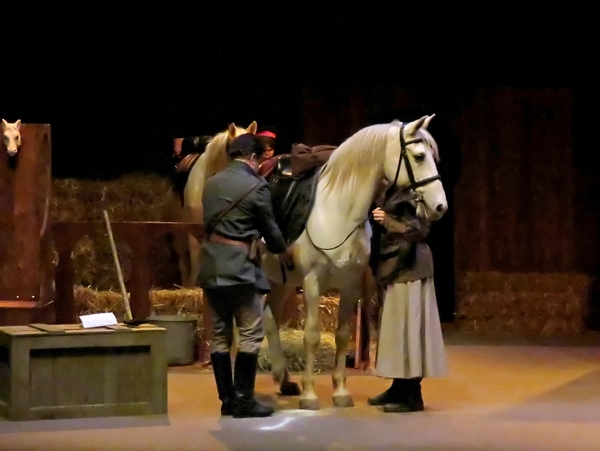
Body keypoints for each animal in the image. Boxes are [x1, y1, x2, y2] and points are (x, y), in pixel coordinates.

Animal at [260, 115, 448, 410]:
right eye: (419, 156)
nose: (440, 206)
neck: (337, 213)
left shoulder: (350, 286)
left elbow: (342, 335)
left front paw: (340, 392)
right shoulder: (312, 283)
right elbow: (311, 336)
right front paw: (310, 395)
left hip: (282, 281)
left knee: (270, 317)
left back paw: (284, 378)